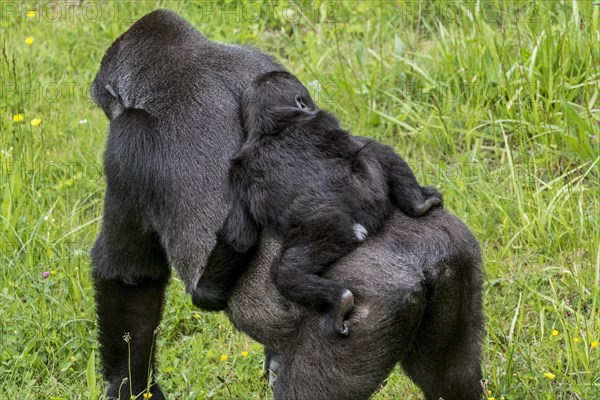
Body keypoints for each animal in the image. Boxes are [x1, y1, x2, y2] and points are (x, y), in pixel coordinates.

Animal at [192, 72, 440, 338]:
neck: (272, 126)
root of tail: (360, 224)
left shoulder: (239, 170)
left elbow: (237, 238)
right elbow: (238, 239)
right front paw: (206, 293)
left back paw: (418, 205)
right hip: (329, 230)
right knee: (289, 272)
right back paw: (339, 299)